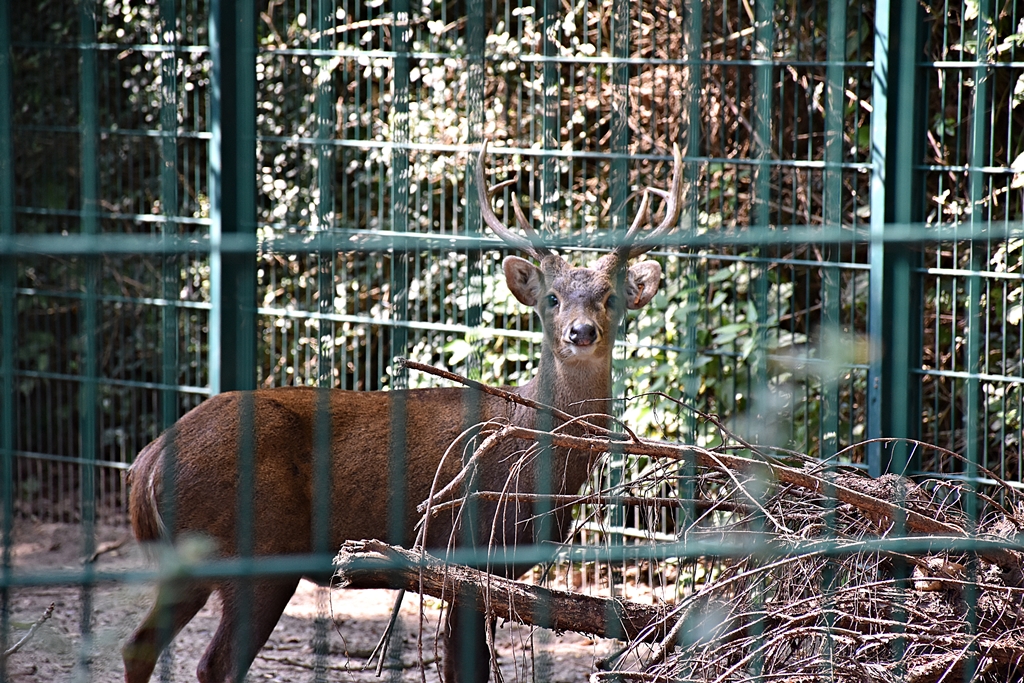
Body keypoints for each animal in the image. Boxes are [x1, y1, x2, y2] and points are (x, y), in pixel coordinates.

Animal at [122, 140, 683, 683]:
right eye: (551, 298)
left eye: (611, 298)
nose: (580, 332)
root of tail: (144, 467)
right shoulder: (467, 551)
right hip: (257, 549)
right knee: (213, 664)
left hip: (193, 565)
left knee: (137, 646)